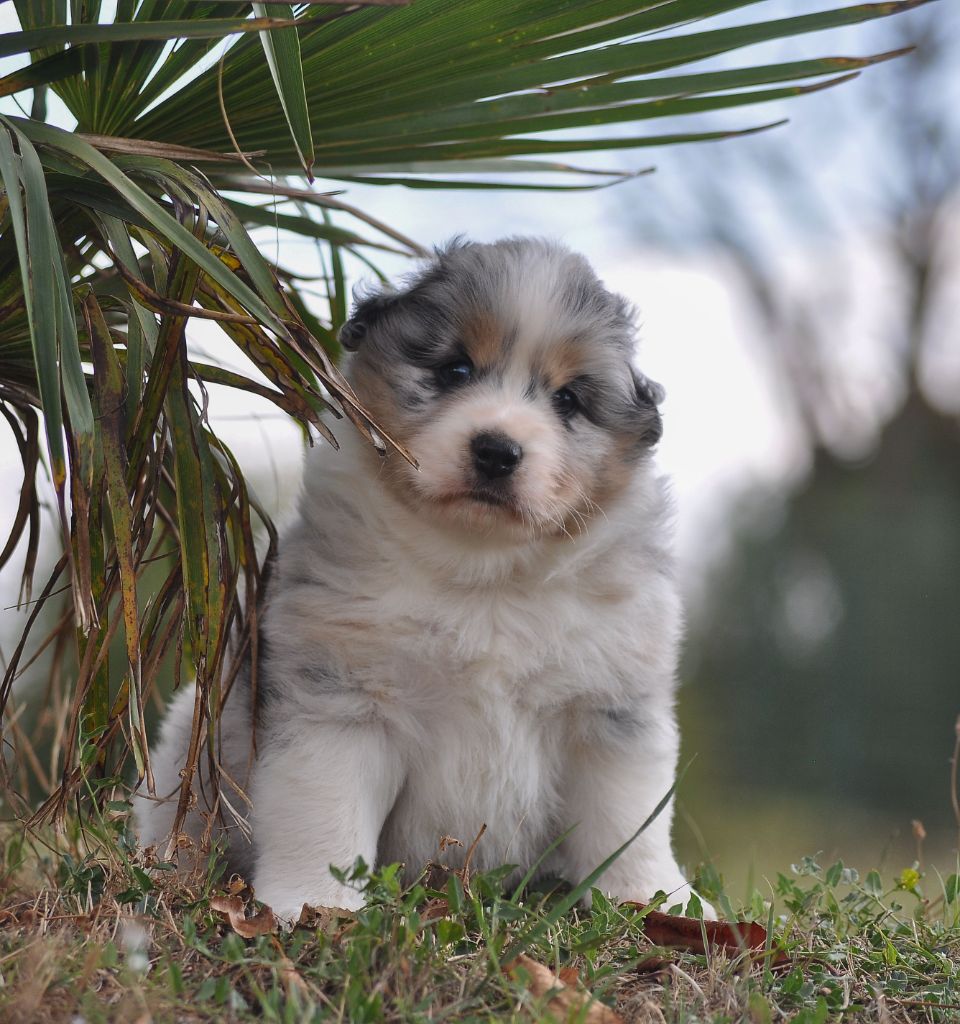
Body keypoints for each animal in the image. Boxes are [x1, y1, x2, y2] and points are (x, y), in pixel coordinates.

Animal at [136, 237, 695, 921]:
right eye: (455, 370)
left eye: (567, 400)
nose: (497, 451)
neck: (485, 578)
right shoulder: (344, 700)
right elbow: (322, 812)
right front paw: (312, 904)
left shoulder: (610, 712)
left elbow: (627, 821)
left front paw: (656, 902)